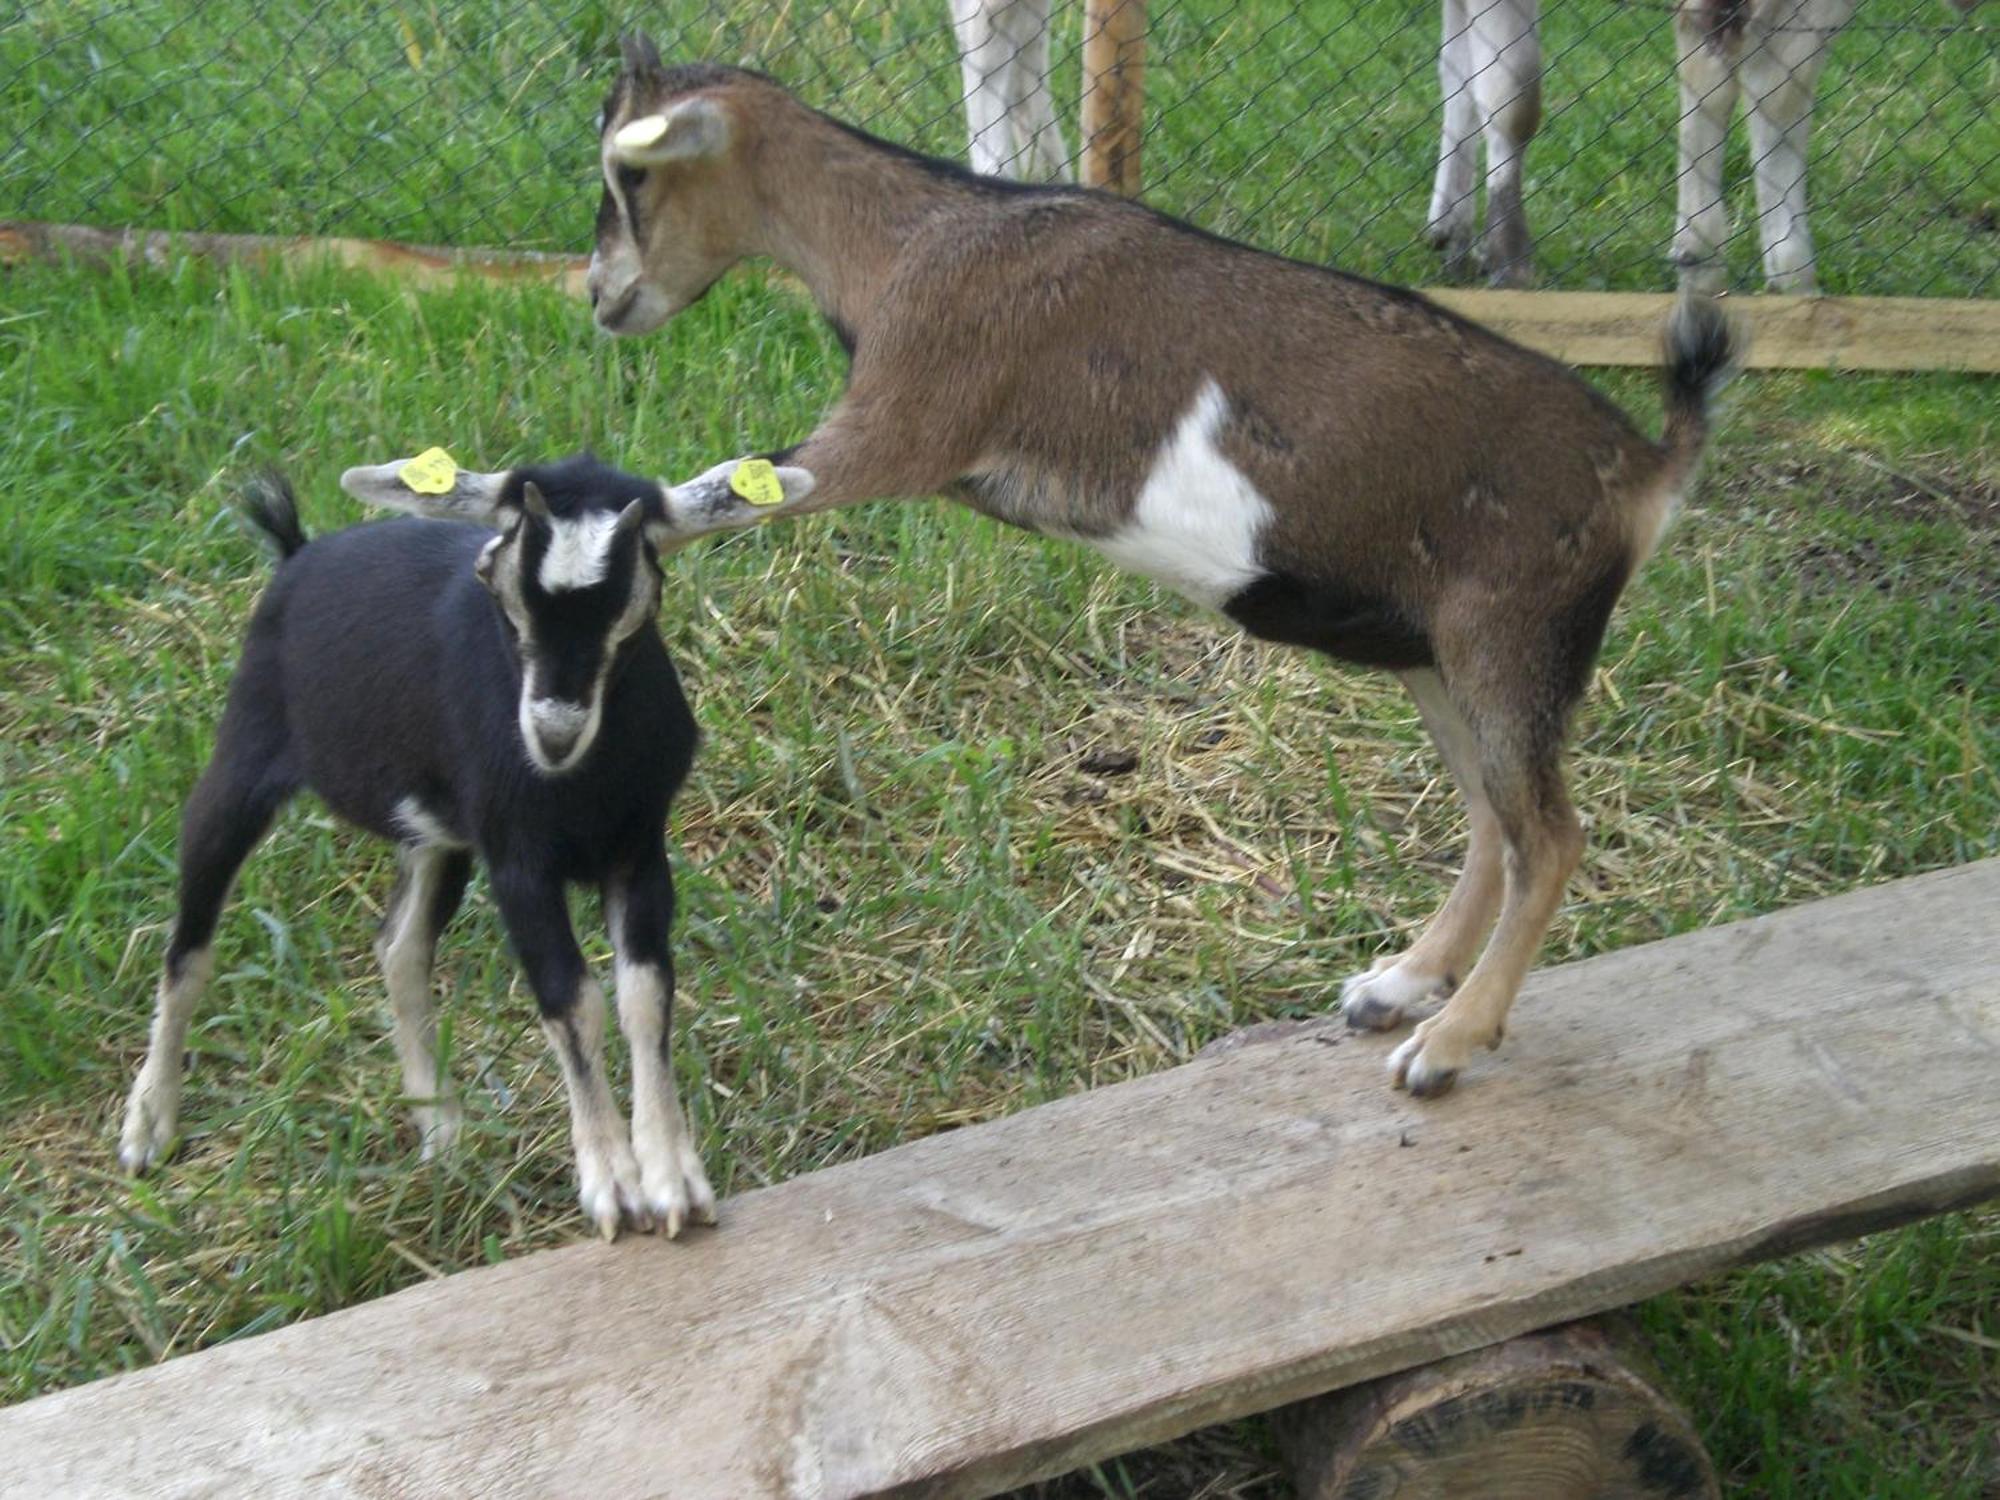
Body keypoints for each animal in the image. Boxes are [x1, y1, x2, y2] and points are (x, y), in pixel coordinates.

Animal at [588, 35, 1736, 1096]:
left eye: (630, 175)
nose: (601, 297)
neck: (916, 240)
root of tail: (1645, 469)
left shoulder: (904, 422)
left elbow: (699, 493)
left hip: (1512, 634)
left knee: (1549, 837)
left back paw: (1445, 1045)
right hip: (1434, 652)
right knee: (1494, 823)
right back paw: (1397, 987)